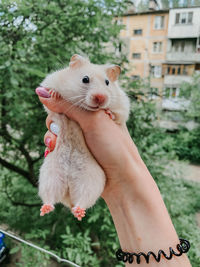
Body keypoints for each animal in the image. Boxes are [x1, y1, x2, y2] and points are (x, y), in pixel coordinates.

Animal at [37, 55, 130, 222]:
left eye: (107, 82)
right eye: (85, 79)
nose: (100, 98)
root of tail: (68, 195)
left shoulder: (123, 107)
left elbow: (118, 115)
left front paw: (108, 113)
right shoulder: (50, 83)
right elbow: (50, 101)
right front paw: (54, 94)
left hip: (90, 182)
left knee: (83, 200)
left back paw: (78, 213)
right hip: (49, 176)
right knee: (49, 197)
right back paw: (46, 209)